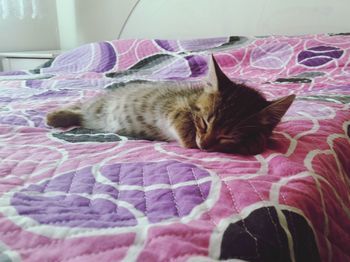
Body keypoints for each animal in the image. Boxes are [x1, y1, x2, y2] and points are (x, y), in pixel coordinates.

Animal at [45, 54, 294, 154]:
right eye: (204, 123)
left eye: (227, 135)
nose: (204, 145)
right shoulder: (176, 105)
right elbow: (183, 120)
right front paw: (190, 139)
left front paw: (254, 142)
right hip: (97, 106)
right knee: (81, 105)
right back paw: (55, 116)